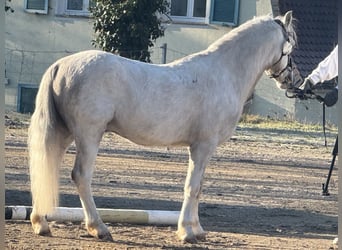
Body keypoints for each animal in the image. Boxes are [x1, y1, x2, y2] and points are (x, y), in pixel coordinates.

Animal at [28, 11, 296, 242]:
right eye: (291, 44)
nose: (292, 81)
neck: (224, 73)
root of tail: (60, 65)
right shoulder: (203, 146)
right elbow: (192, 187)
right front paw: (186, 232)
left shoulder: (202, 149)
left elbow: (199, 187)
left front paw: (197, 230)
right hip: (89, 135)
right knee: (81, 176)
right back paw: (99, 228)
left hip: (64, 133)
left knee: (46, 165)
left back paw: (41, 223)